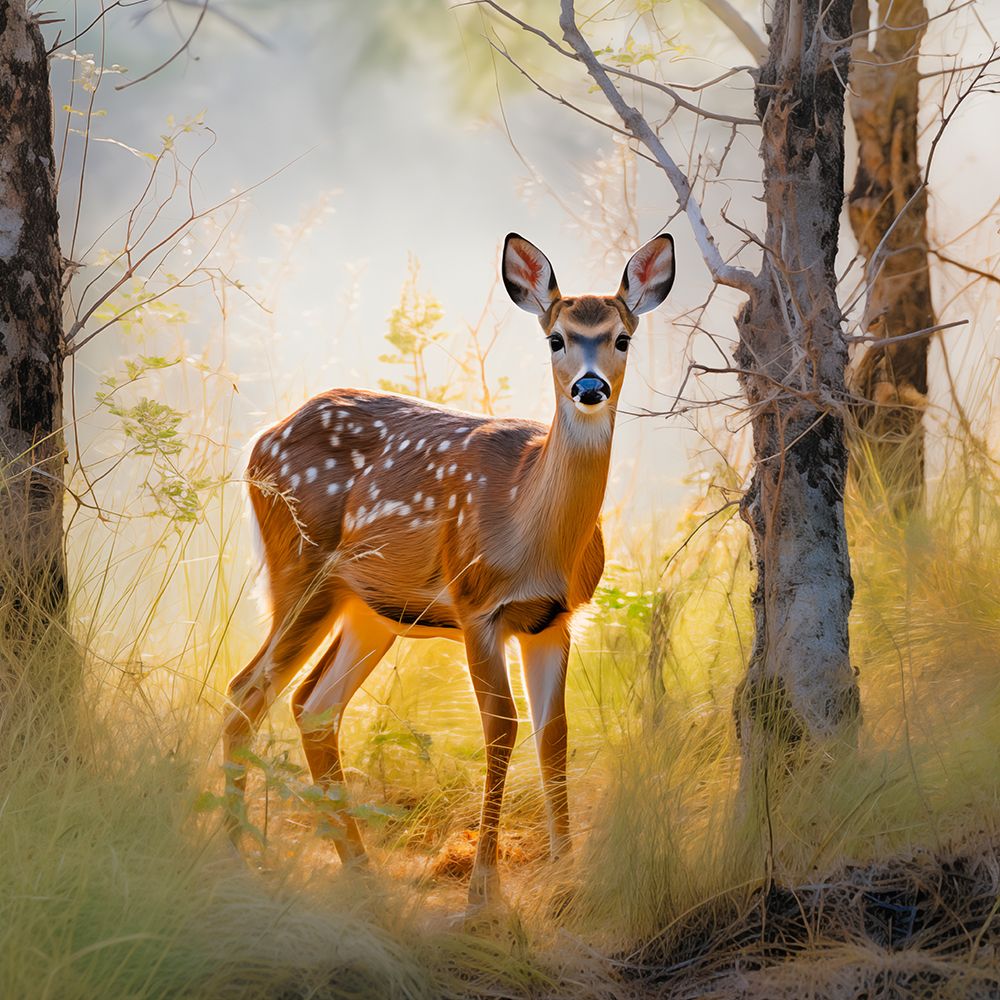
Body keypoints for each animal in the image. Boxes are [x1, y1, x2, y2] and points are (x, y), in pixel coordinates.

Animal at [223, 232, 676, 907]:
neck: (530, 530)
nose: (590, 387)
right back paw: (234, 856)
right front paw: (484, 893)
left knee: (313, 704)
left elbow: (554, 734)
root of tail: (259, 442)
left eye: (622, 337)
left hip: (373, 609)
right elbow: (501, 729)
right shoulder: (475, 605)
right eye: (556, 338)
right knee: (245, 693)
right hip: (300, 569)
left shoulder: (555, 619)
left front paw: (568, 878)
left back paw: (360, 871)